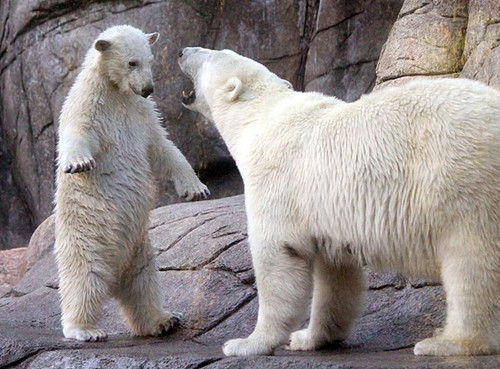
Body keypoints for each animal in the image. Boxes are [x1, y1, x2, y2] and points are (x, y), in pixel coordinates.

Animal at [54, 26, 209, 342]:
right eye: (131, 63)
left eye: (150, 60)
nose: (148, 88)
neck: (117, 92)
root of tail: (115, 278)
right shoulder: (90, 104)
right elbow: (78, 133)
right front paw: (78, 163)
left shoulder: (141, 112)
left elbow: (162, 146)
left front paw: (196, 188)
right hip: (86, 238)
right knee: (83, 280)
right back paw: (86, 329)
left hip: (140, 247)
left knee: (144, 283)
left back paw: (163, 320)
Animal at [178, 47, 498, 356]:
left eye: (211, 54)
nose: (181, 51)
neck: (260, 116)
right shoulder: (325, 211)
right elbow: (336, 276)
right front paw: (308, 338)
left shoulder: (277, 180)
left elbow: (277, 256)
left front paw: (247, 343)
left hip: (462, 177)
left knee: (471, 260)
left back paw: (448, 342)